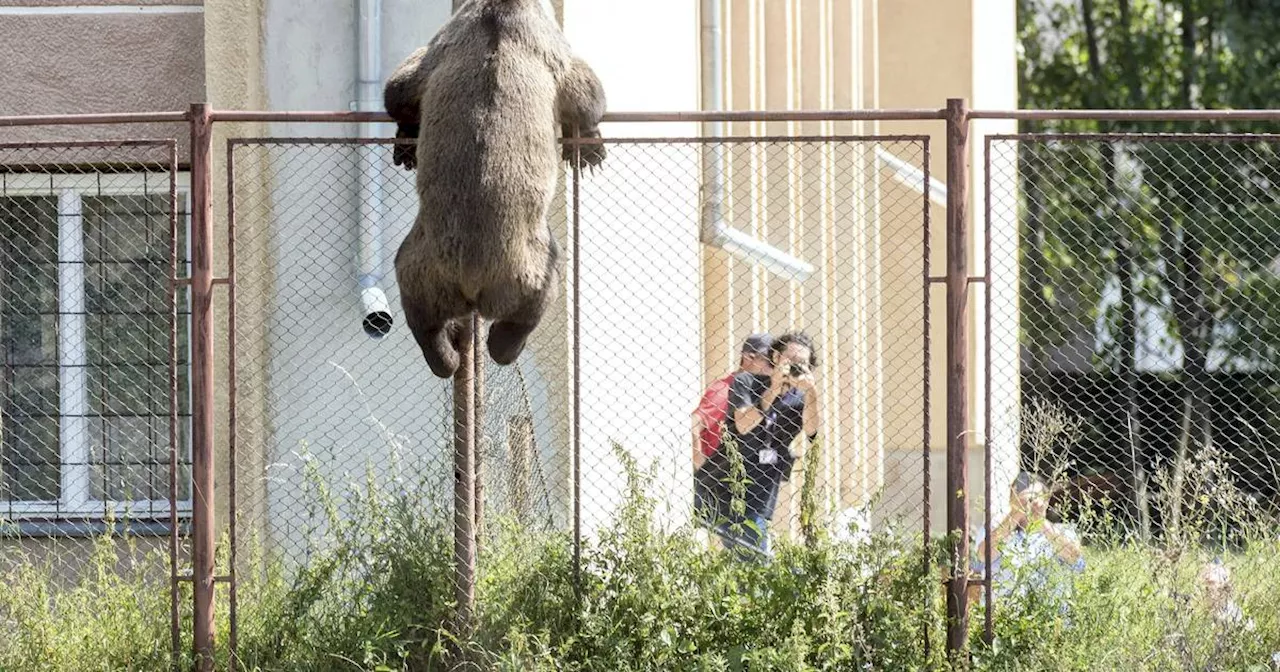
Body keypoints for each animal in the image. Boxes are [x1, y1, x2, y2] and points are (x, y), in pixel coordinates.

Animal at [381, 0, 606, 376]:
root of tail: (471, 281)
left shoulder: (434, 58)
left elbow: (400, 90)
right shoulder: (550, 50)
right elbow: (587, 93)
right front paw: (591, 146)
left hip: (420, 264)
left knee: (422, 316)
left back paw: (446, 352)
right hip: (528, 266)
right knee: (534, 301)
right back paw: (505, 343)